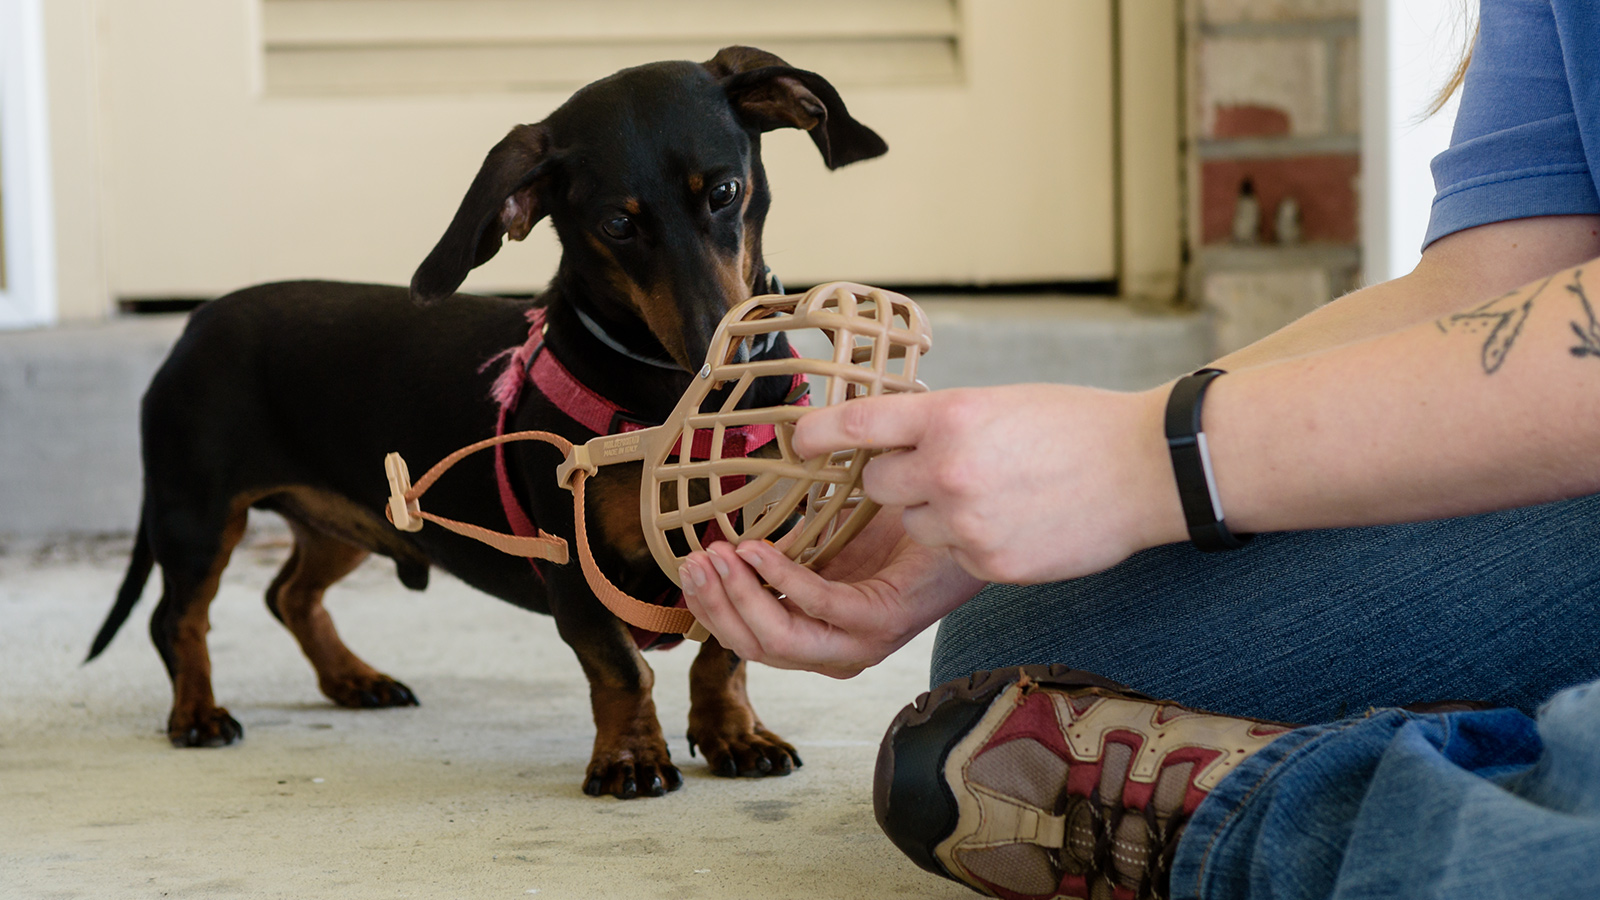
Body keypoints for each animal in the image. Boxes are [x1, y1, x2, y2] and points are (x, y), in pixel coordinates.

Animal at [87, 47, 889, 797]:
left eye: (723, 192)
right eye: (617, 224)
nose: (717, 350)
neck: (663, 399)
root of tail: (197, 321)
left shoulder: (763, 545)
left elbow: (723, 655)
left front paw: (734, 735)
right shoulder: (574, 567)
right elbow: (623, 669)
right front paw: (631, 758)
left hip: (353, 515)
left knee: (289, 594)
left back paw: (353, 679)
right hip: (197, 515)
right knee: (179, 619)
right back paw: (198, 714)